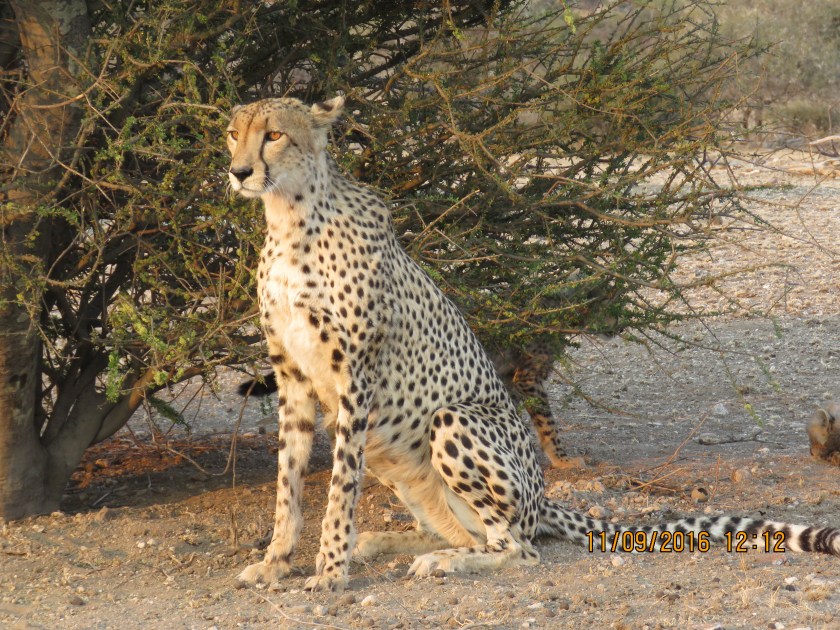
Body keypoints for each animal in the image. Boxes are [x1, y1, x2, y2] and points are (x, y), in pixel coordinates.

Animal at [225, 95, 840, 592]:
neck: (290, 218)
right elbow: (288, 485)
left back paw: (441, 561)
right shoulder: (293, 376)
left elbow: (337, 490)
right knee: (471, 533)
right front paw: (278, 562)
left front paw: (330, 572)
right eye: (234, 132)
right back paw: (392, 544)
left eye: (274, 134)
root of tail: (542, 497)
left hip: (450, 420)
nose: (239, 171)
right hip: (395, 454)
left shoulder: (357, 377)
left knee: (516, 549)